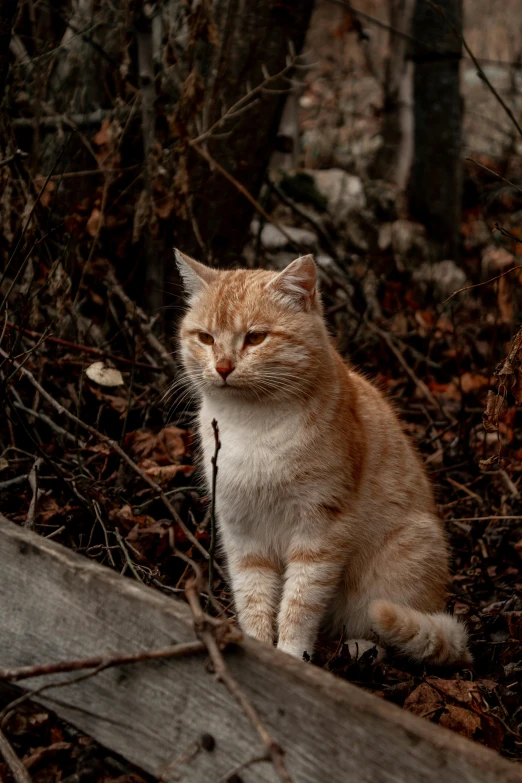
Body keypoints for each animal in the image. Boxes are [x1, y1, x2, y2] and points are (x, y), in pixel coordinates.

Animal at [176, 248, 472, 664]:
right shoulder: (243, 533)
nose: (222, 367)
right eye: (205, 338)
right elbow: (253, 597)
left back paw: (360, 648)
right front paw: (258, 648)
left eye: (255, 338)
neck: (252, 426)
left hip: (404, 560)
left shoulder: (320, 530)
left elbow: (300, 603)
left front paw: (289, 654)